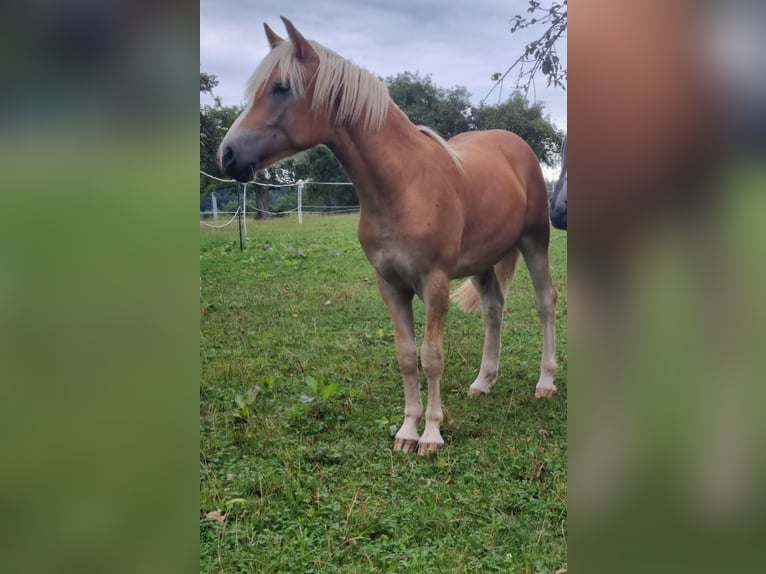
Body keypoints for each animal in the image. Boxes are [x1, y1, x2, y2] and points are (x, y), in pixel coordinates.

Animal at [216, 18, 560, 456]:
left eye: (281, 87)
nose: (227, 155)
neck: (403, 184)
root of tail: (515, 144)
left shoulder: (434, 283)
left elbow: (432, 356)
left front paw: (431, 434)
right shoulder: (391, 285)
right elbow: (407, 356)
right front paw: (408, 430)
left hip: (535, 241)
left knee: (545, 303)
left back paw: (545, 382)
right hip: (483, 261)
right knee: (494, 310)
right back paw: (483, 382)